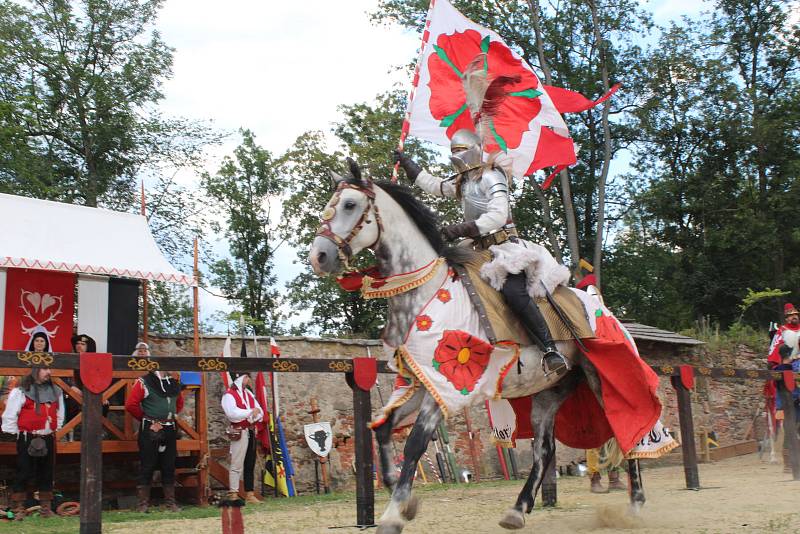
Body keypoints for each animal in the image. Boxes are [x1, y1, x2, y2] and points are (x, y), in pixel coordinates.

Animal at [306, 160, 644, 534]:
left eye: (350, 205)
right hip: (549, 392)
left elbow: (415, 444)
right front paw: (406, 500)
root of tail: (607, 312)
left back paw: (635, 504)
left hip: (601, 381)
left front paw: (394, 515)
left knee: (628, 429)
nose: (319, 256)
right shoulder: (422, 384)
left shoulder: (447, 389)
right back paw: (518, 509)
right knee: (544, 451)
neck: (426, 291)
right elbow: (383, 430)